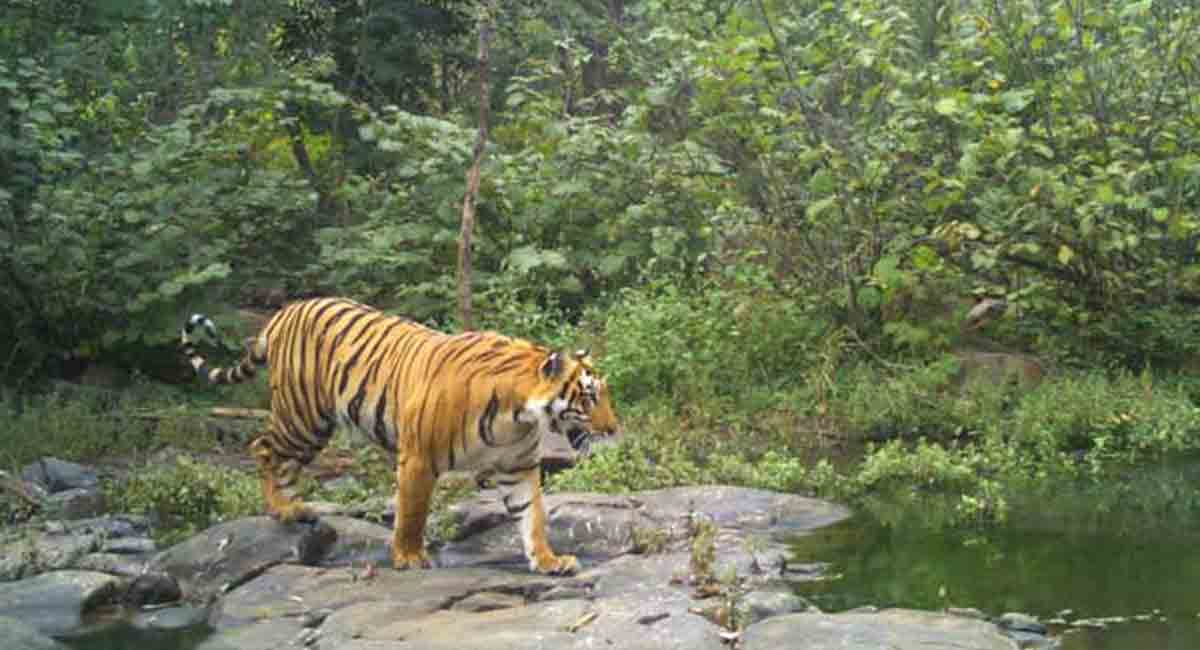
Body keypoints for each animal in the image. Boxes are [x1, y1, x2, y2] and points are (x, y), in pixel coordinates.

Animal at [180, 297, 619, 575]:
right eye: (589, 396)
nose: (614, 429)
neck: (518, 416)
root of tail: (283, 312)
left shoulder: (519, 466)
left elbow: (533, 518)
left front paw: (548, 561)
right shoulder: (419, 458)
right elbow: (412, 512)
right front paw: (408, 558)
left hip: (312, 426)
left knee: (283, 461)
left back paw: (296, 509)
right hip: (301, 416)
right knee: (263, 447)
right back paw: (280, 508)